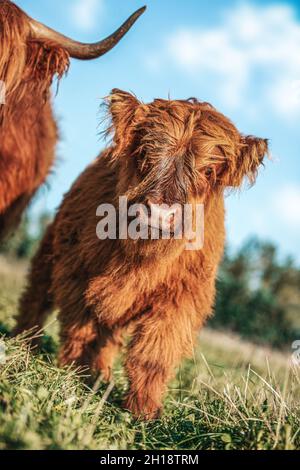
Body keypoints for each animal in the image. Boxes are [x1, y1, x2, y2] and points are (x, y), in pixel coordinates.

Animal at [14, 91, 270, 418]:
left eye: (208, 170)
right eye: (145, 153)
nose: (159, 213)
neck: (141, 256)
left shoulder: (181, 299)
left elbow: (153, 354)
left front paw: (143, 411)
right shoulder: (76, 272)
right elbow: (79, 330)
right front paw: (72, 373)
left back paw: (100, 375)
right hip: (49, 252)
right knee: (36, 297)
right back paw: (24, 342)